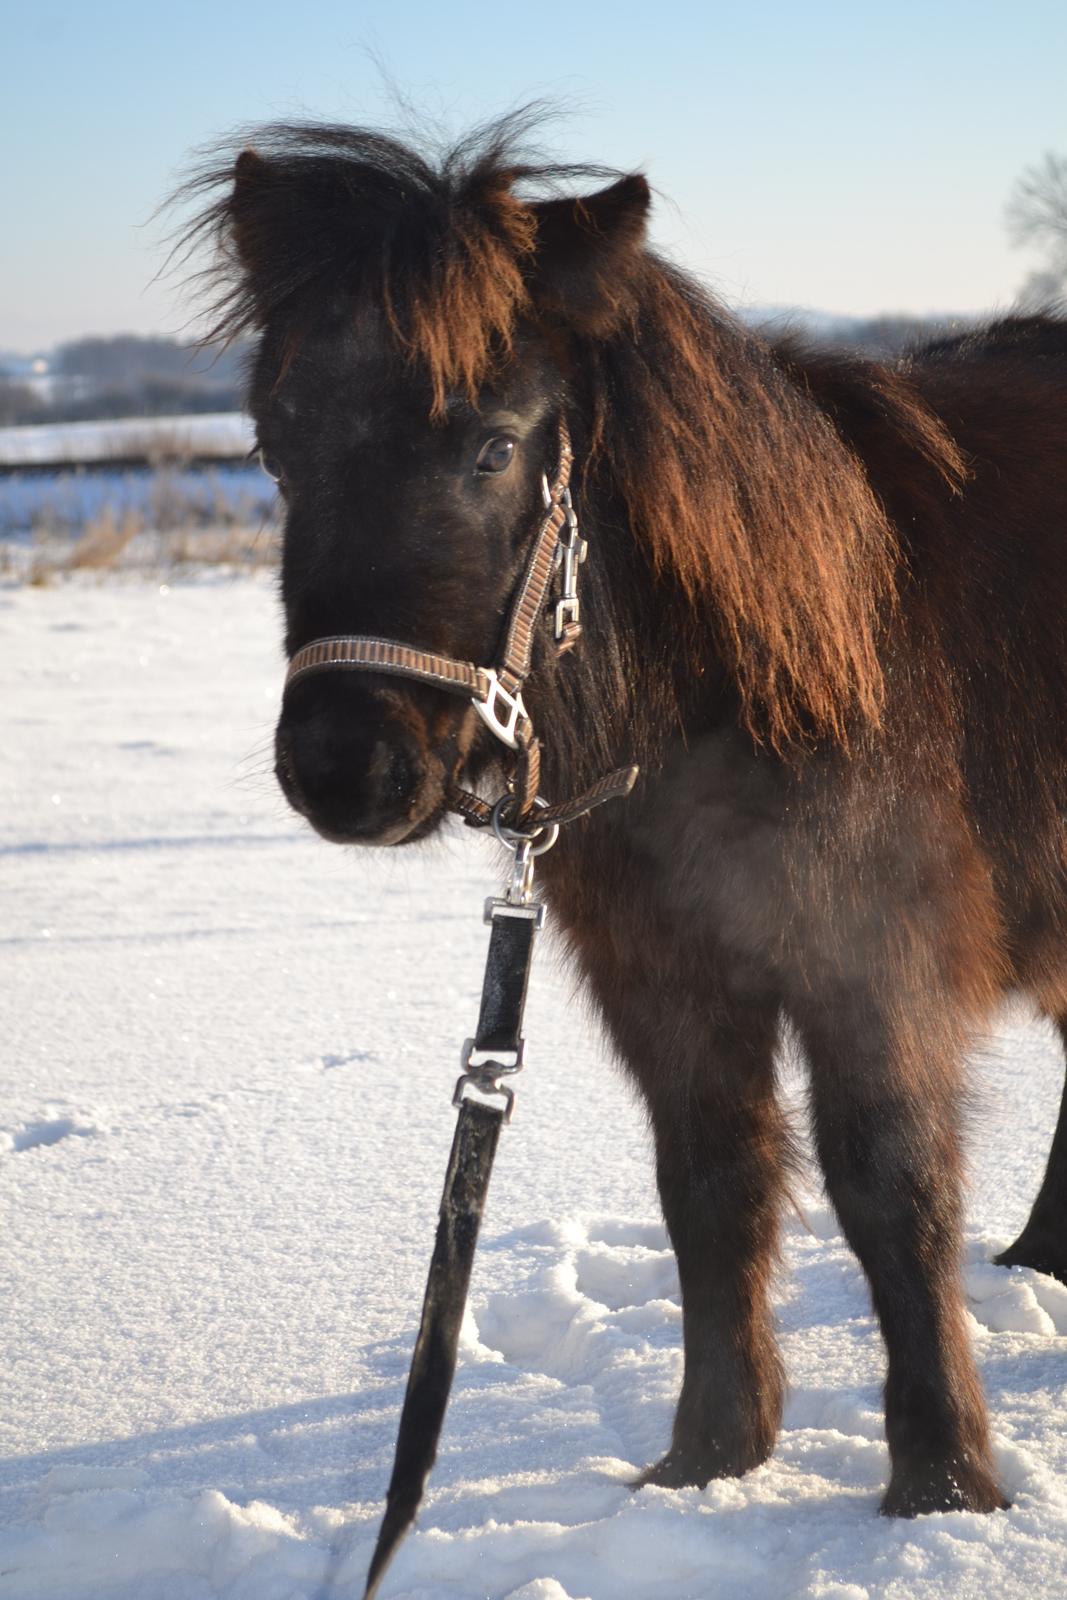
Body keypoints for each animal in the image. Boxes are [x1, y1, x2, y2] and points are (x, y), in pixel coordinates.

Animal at [179, 118, 1067, 1516]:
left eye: (492, 448)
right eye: (275, 448)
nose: (343, 767)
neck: (749, 694)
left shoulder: (872, 968)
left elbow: (892, 1193)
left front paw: (941, 1485)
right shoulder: (668, 978)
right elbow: (709, 1186)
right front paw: (709, 1458)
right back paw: (1040, 1256)